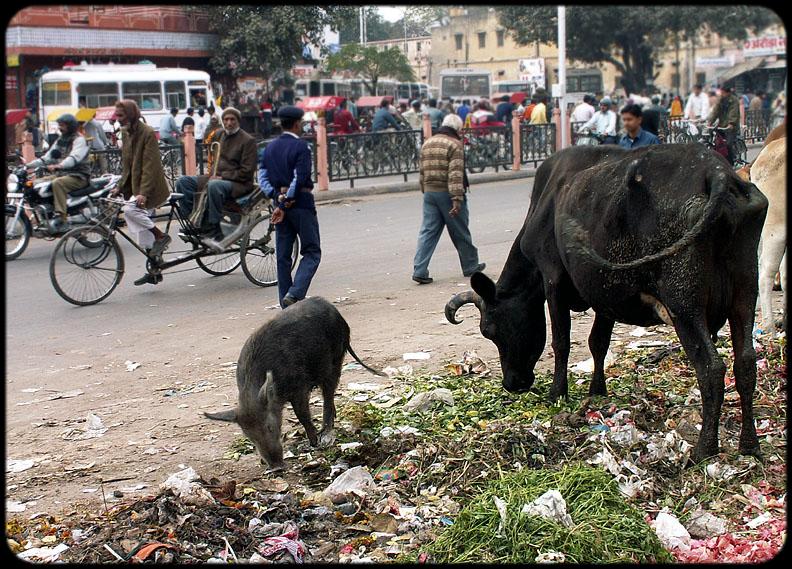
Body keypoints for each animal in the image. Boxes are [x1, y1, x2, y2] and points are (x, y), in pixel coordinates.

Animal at [201, 296, 380, 468]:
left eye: (270, 426)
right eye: (249, 435)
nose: (276, 467)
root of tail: (336, 313)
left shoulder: (299, 387)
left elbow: (302, 414)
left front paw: (314, 442)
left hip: (335, 359)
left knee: (328, 394)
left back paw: (325, 431)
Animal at [448, 144, 772, 460]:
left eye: (490, 331)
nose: (512, 384)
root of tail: (717, 173)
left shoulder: (553, 279)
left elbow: (561, 342)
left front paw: (557, 393)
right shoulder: (604, 293)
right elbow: (598, 342)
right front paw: (597, 390)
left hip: (683, 302)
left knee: (711, 368)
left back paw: (704, 449)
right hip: (745, 289)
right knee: (746, 363)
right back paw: (749, 445)